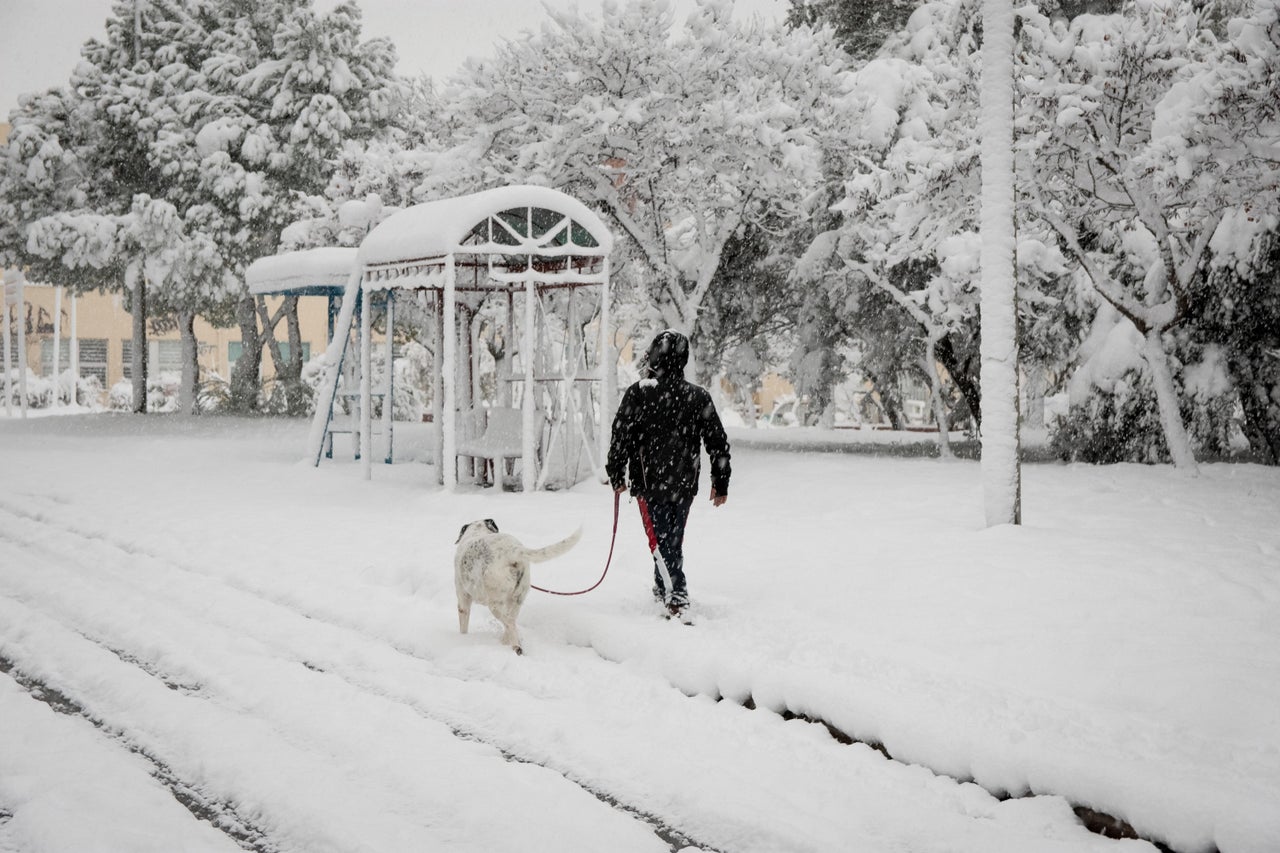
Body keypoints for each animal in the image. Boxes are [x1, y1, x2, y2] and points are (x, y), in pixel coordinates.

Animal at [453, 517, 583, 650]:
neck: (477, 531)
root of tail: (513, 550)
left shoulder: (463, 601)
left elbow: (463, 626)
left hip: (495, 603)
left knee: (510, 623)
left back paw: (516, 647)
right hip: (517, 598)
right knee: (511, 621)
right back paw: (507, 642)